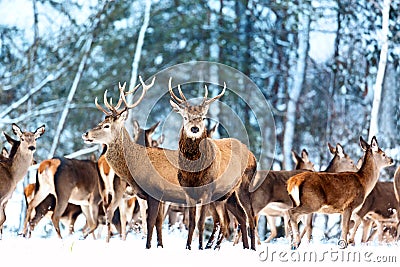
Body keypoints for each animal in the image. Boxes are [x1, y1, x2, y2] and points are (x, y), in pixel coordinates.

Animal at [168, 79, 256, 251]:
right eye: (185, 117)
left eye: (202, 117)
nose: (195, 128)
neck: (194, 173)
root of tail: (252, 154)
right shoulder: (189, 193)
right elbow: (191, 223)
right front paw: (188, 247)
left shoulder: (207, 191)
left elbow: (201, 223)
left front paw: (200, 247)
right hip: (226, 195)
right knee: (236, 218)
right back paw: (238, 247)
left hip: (243, 186)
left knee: (250, 217)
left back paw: (252, 248)